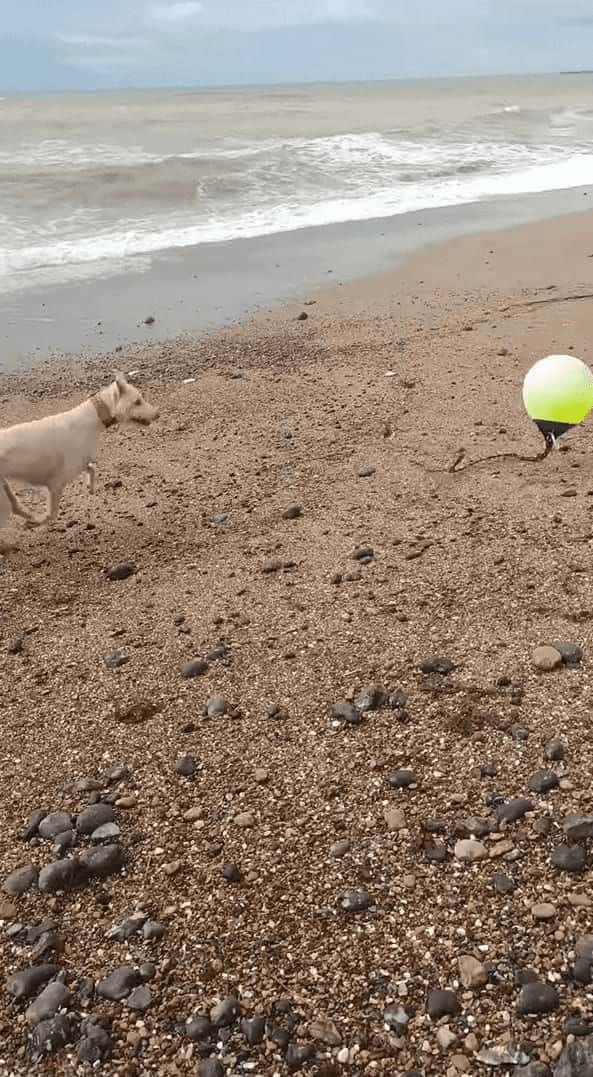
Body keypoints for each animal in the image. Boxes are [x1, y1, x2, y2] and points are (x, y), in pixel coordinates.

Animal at [0, 374, 158, 551]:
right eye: (137, 401)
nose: (158, 414)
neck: (93, 417)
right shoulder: (56, 484)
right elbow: (52, 515)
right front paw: (37, 523)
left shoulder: (79, 464)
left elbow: (91, 468)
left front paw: (90, 487)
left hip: (4, 487)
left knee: (16, 506)